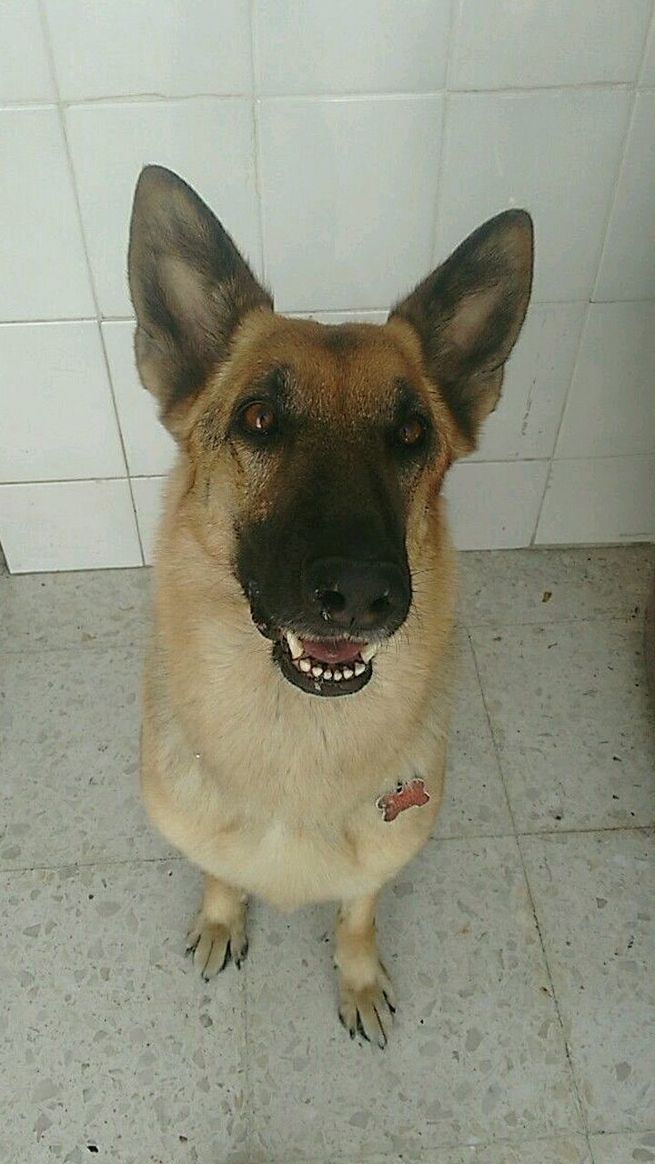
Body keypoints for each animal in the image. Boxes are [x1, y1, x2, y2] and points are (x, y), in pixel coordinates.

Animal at [126, 168, 532, 1052]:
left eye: (411, 433)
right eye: (258, 419)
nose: (358, 592)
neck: (295, 739)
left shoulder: (377, 865)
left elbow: (356, 918)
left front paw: (358, 979)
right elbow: (221, 872)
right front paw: (223, 917)